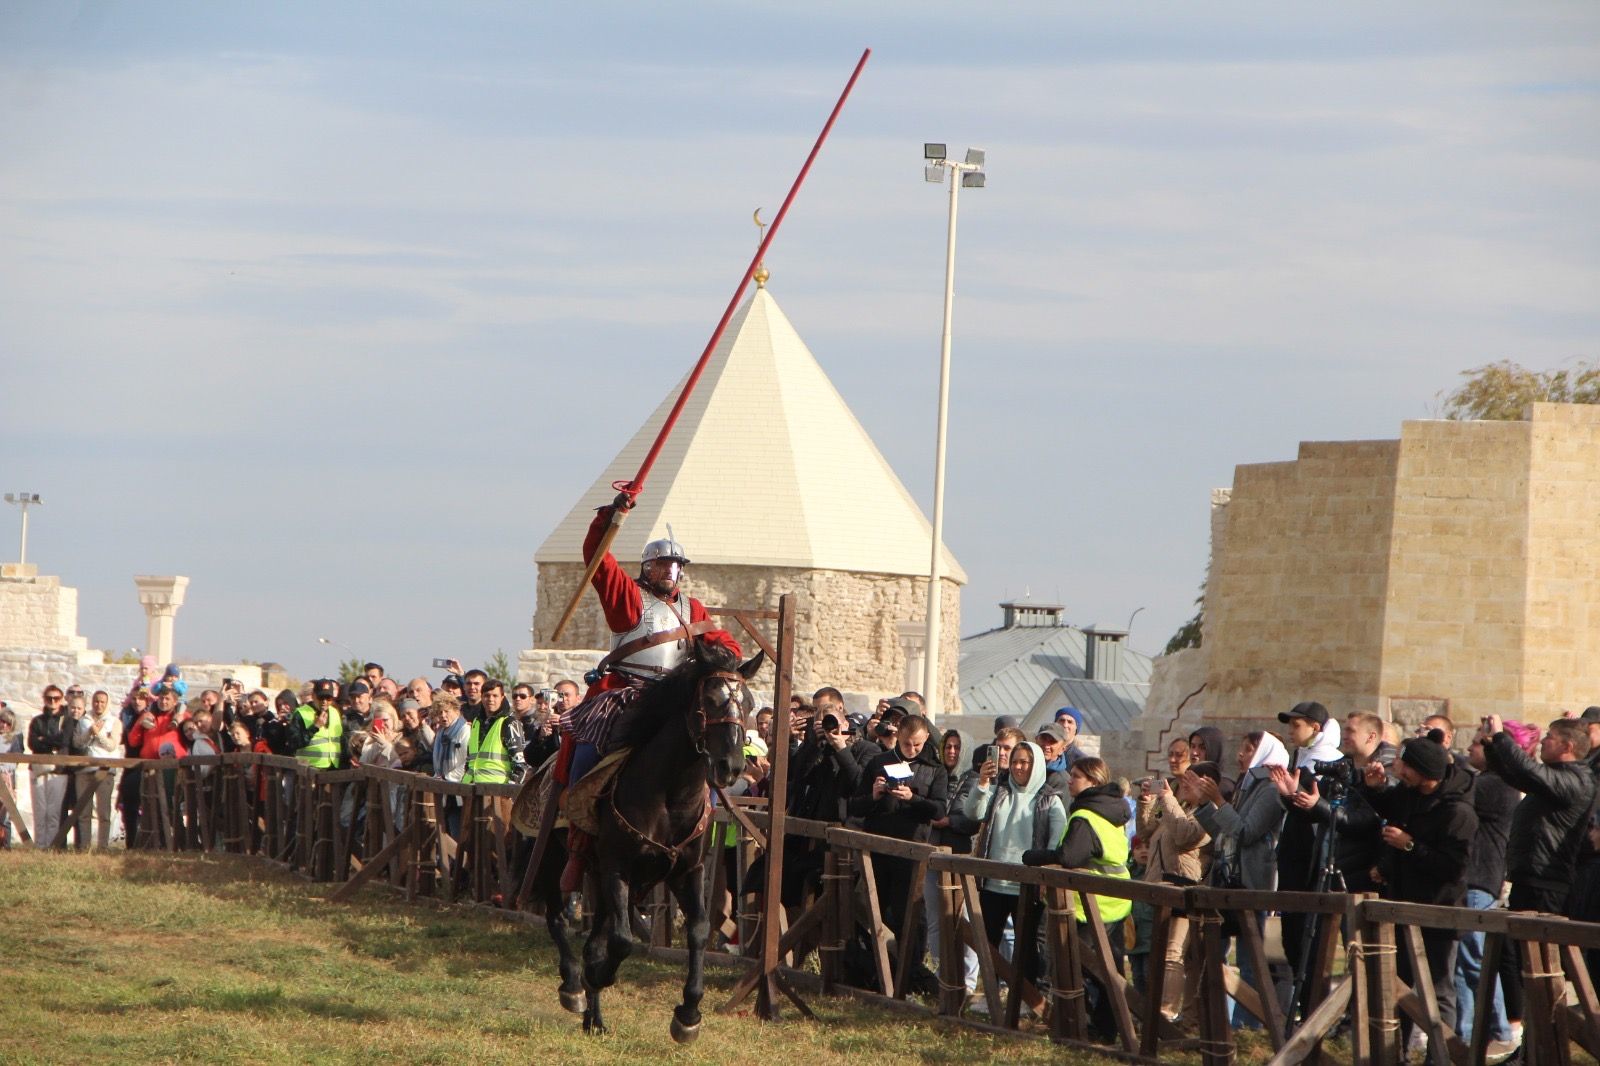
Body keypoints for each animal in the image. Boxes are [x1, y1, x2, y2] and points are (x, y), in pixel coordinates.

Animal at [528, 640, 758, 1037]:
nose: (731, 766)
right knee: (557, 918)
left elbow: (698, 930)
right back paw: (574, 987)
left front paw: (688, 1014)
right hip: (554, 860)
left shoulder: (688, 872)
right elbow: (621, 941)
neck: (669, 795)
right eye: (711, 699)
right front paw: (596, 977)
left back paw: (594, 1019)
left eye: (749, 704)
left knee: (592, 940)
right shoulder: (617, 868)